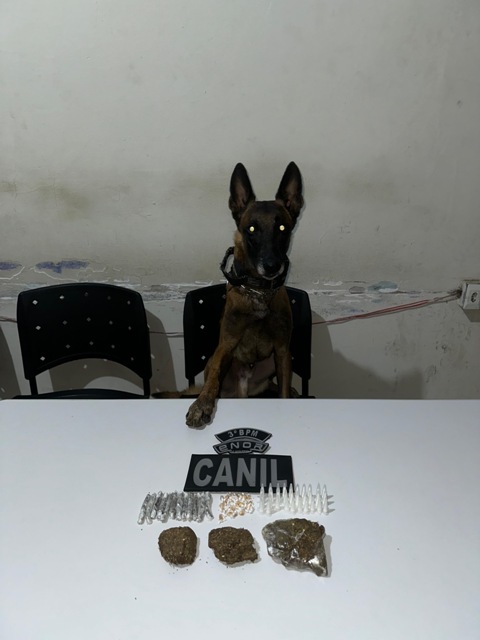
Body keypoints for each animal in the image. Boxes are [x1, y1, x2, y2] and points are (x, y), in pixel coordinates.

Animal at [185, 161, 304, 428]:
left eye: (282, 227)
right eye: (251, 229)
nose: (271, 266)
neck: (259, 292)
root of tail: (244, 386)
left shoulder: (283, 351)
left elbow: (282, 389)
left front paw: (287, 397)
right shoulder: (226, 346)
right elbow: (213, 378)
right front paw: (201, 405)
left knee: (274, 384)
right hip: (216, 361)